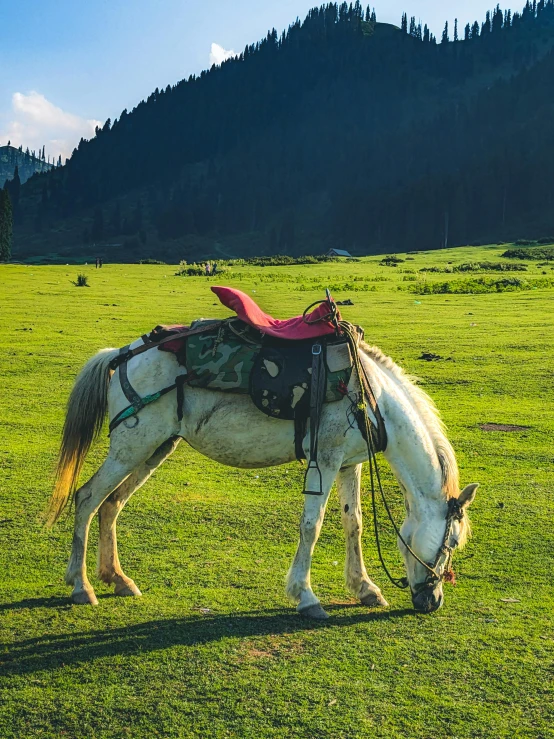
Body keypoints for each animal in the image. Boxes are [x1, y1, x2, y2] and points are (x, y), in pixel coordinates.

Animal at [45, 330, 476, 620]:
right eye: (453, 542)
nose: (432, 602)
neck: (371, 397)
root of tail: (121, 356)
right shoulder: (325, 458)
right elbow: (312, 526)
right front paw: (305, 596)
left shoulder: (348, 463)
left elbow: (353, 523)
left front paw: (365, 588)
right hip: (132, 447)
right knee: (87, 497)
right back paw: (81, 586)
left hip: (154, 448)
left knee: (111, 504)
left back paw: (117, 579)